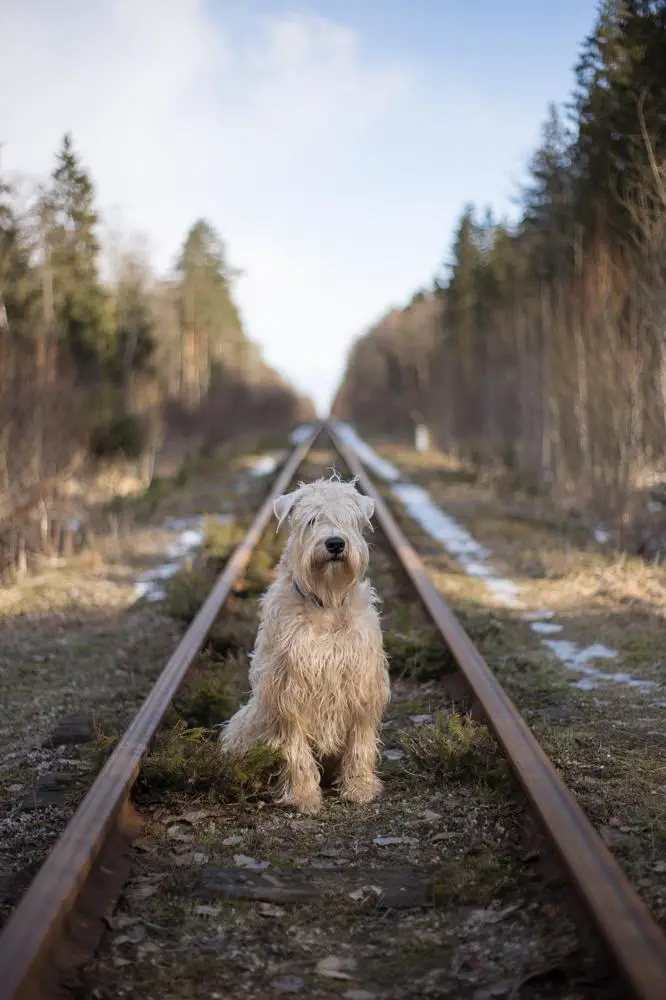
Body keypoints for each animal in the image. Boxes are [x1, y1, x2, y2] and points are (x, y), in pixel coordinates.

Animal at [222, 470, 390, 812]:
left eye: (349, 518)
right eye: (312, 520)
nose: (335, 543)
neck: (327, 602)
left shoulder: (363, 686)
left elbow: (360, 743)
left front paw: (360, 787)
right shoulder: (288, 691)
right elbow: (295, 750)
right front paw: (302, 796)